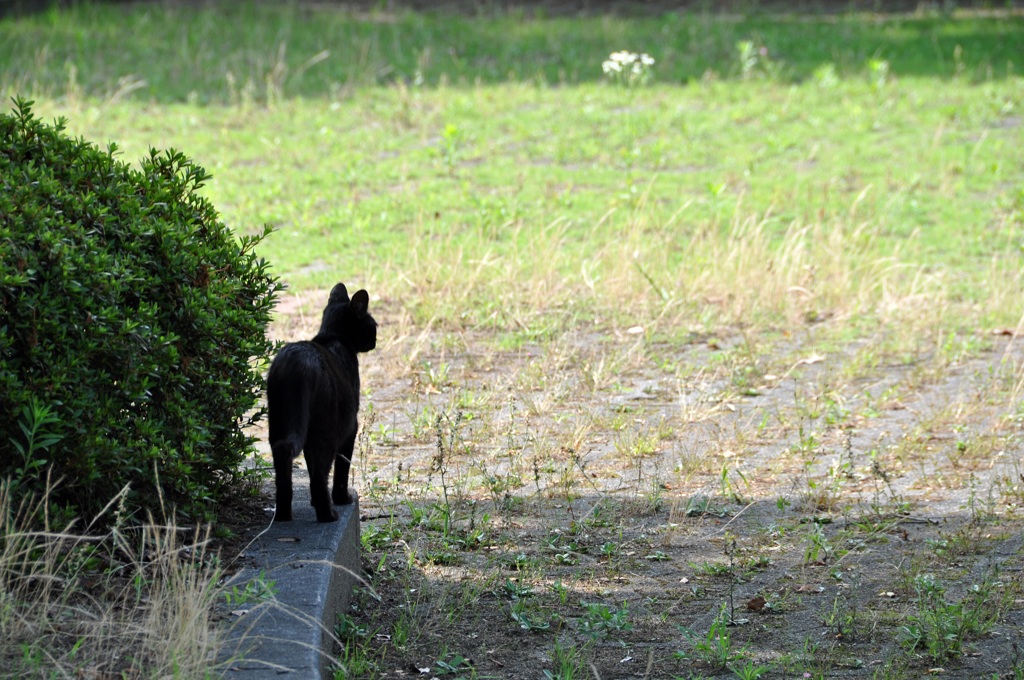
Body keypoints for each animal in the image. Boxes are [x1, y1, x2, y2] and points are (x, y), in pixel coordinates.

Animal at [266, 280, 378, 520]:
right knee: (320, 474)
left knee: (284, 462)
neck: (332, 337)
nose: (375, 340)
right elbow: (341, 467)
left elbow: (309, 465)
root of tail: (297, 365)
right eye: (373, 325)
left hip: (280, 423)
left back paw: (283, 515)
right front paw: (341, 498)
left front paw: (312, 502)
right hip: (327, 429)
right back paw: (328, 515)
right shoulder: (351, 426)